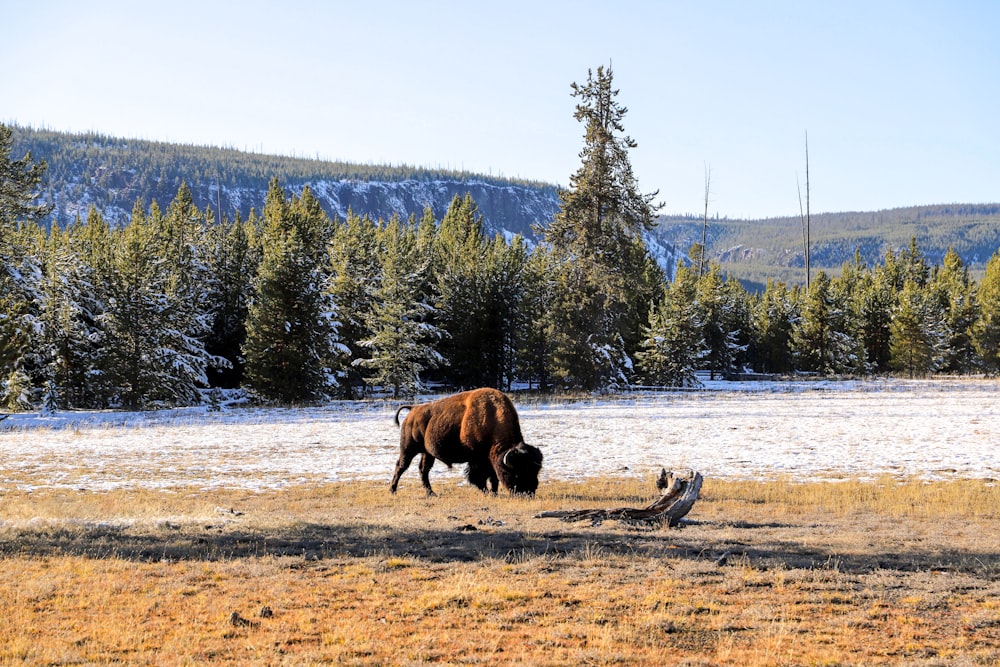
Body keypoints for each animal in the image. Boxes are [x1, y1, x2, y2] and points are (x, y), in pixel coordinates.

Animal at [392, 386, 548, 496]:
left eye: (536, 471)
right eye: (516, 473)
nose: (528, 492)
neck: (492, 420)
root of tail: (413, 409)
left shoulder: (489, 460)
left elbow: (493, 477)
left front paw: (494, 492)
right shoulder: (477, 459)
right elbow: (478, 477)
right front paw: (487, 492)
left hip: (427, 453)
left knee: (423, 470)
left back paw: (431, 493)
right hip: (408, 448)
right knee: (401, 466)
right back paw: (392, 490)